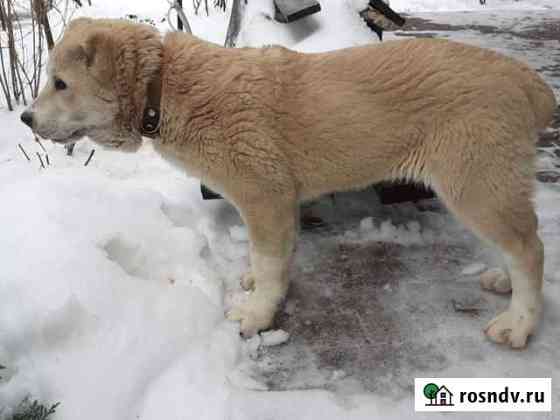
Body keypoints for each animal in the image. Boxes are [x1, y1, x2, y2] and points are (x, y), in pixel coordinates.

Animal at [21, 18, 556, 348]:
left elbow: (271, 262)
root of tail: (522, 75)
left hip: (475, 183)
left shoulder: (264, 195)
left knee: (530, 248)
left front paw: (257, 314)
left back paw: (519, 324)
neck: (164, 86)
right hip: (489, 185)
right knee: (518, 242)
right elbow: (272, 257)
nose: (25, 118)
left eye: (61, 84)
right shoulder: (274, 203)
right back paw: (505, 281)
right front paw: (257, 285)